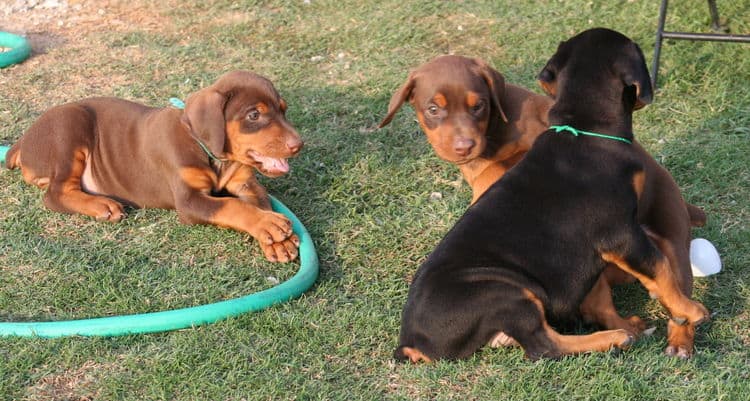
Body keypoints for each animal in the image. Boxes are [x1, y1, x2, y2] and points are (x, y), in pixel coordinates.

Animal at [5, 69, 306, 262]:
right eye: (254, 115)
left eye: (283, 109)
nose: (298, 144)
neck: (211, 154)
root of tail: (22, 143)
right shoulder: (189, 200)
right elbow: (233, 206)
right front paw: (269, 225)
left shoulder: (245, 183)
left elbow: (258, 202)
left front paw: (278, 240)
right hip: (69, 123)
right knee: (55, 194)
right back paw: (102, 205)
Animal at [396, 26, 708, 360]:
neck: (582, 128)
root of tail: (412, 342)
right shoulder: (620, 232)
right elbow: (659, 266)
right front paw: (691, 309)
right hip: (502, 290)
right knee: (543, 346)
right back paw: (615, 336)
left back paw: (629, 328)